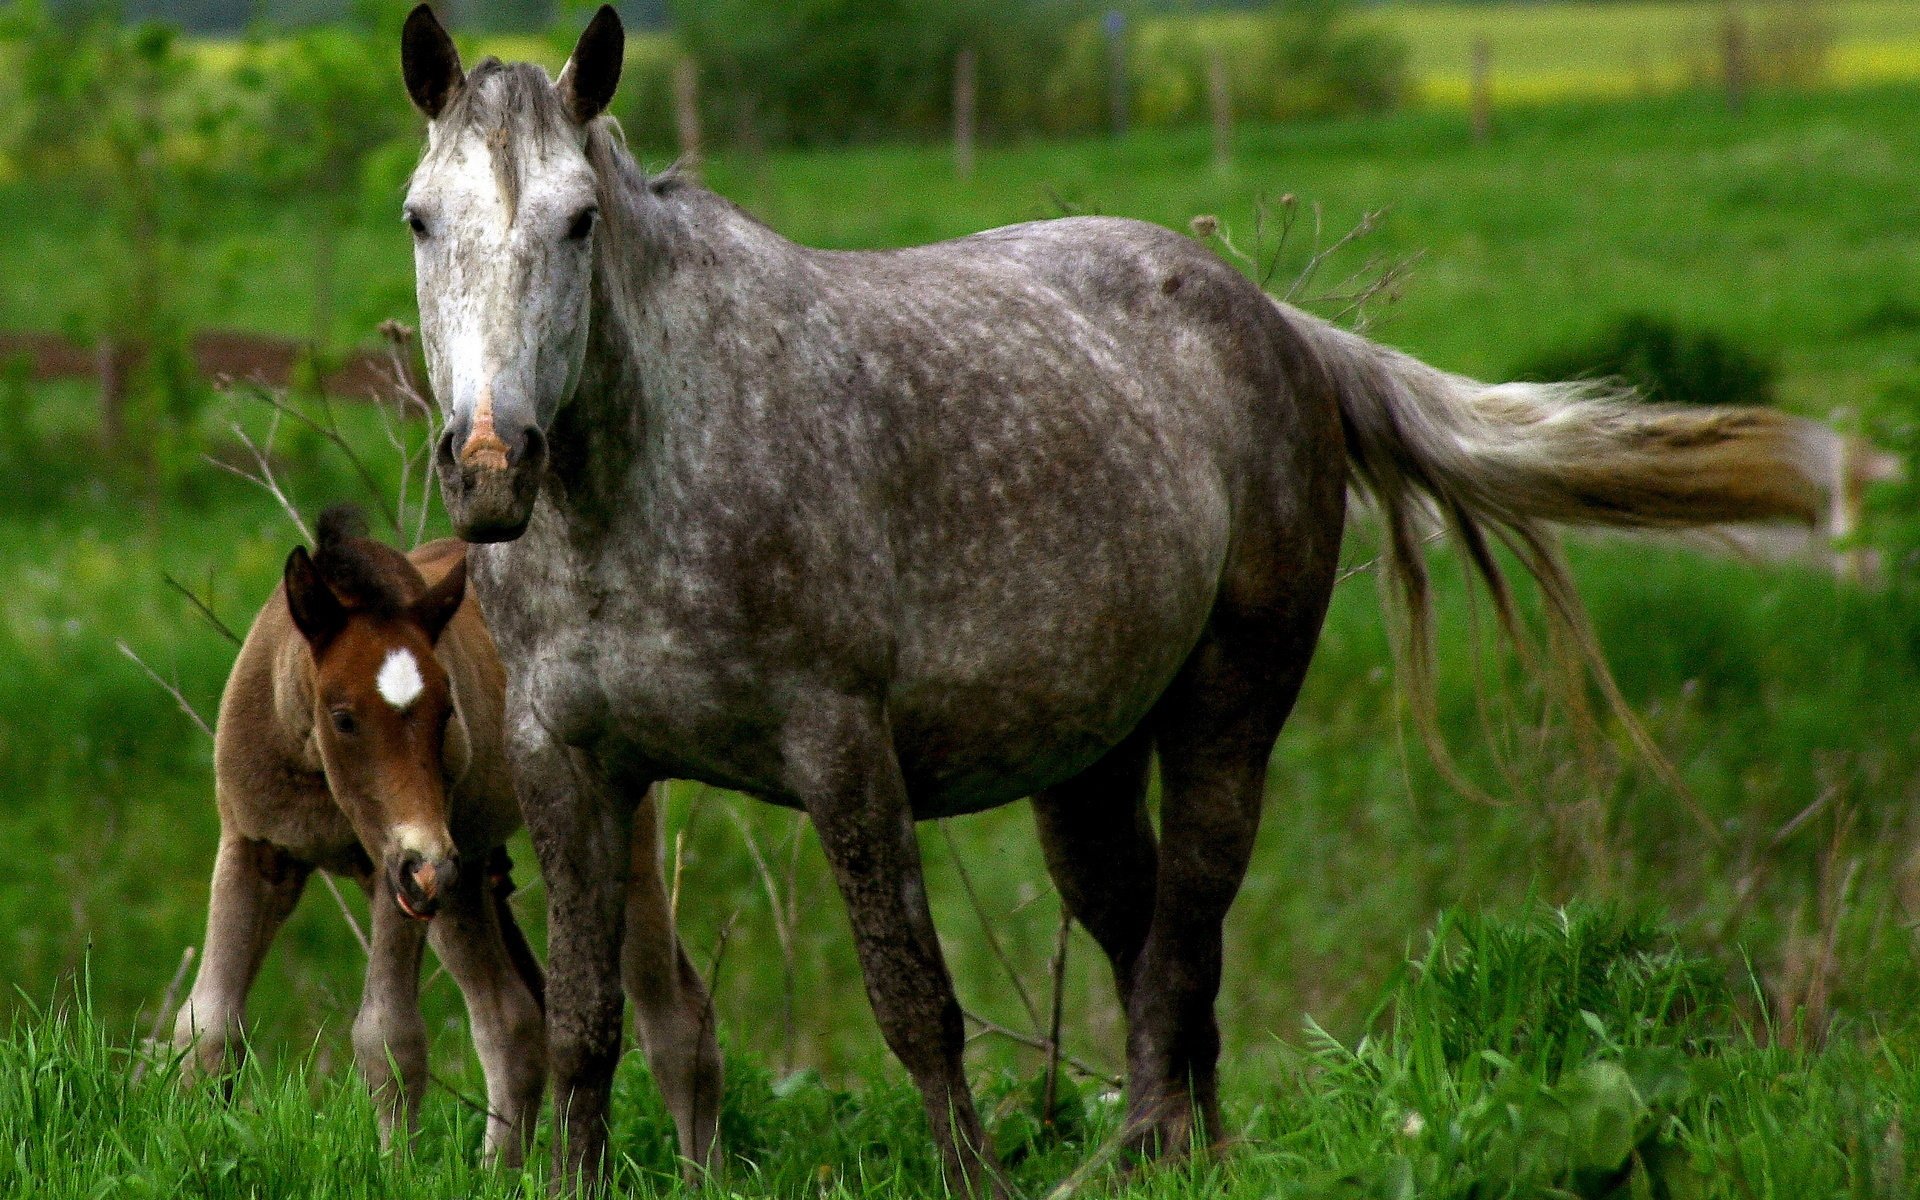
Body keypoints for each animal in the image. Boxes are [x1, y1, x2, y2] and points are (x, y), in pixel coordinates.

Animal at [168, 505, 719, 1169]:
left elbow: (388, 1037)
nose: (426, 861)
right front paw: (199, 1152)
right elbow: (208, 1025)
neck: (316, 778)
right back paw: (498, 1175)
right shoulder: (255, 850)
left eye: (446, 713)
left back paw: (704, 1178)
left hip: (587, 838)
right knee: (513, 1020)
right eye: (343, 716)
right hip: (468, 875)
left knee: (674, 1016)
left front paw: (394, 1172)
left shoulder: (390, 872)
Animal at [397, 6, 1848, 1193]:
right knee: (1145, 939)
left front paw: (975, 1182)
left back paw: (1145, 1153)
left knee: (1185, 941)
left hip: (1227, 718)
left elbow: (912, 999)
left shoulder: (841, 747)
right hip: (1084, 765)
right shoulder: (571, 762)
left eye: (580, 220)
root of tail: (1275, 324)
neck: (648, 479)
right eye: (420, 218)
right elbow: (584, 1022)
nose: (490, 465)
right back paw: (1189, 1151)